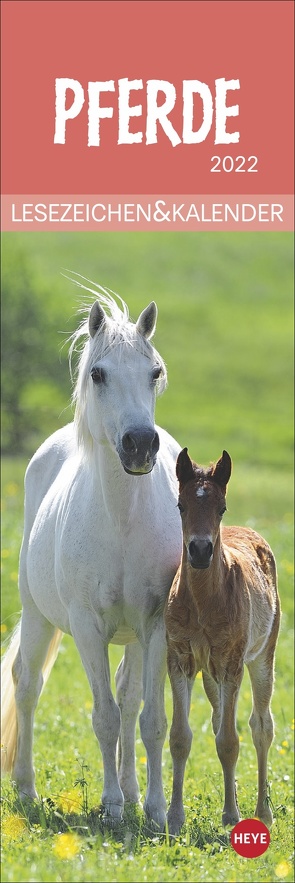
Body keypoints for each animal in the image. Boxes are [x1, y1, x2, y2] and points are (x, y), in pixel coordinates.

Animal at [1, 286, 183, 832]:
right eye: (98, 374)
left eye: (155, 371)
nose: (141, 444)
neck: (122, 519)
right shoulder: (85, 627)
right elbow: (103, 717)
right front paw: (111, 807)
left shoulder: (155, 625)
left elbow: (149, 718)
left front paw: (154, 810)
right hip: (38, 616)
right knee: (28, 685)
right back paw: (25, 788)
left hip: (134, 638)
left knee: (128, 698)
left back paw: (132, 791)